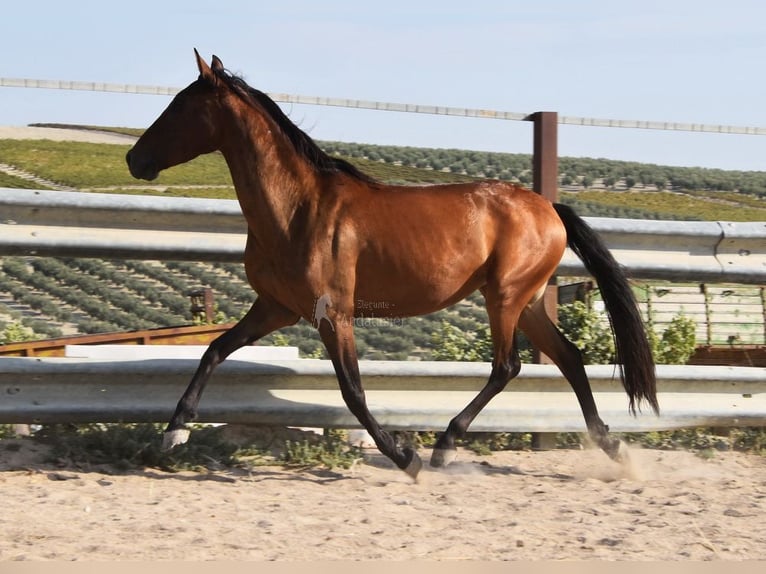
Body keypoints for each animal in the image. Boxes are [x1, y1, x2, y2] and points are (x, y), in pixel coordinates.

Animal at [127, 51, 660, 480]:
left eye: (180, 106)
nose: (134, 159)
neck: (296, 209)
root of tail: (549, 208)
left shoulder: (333, 314)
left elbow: (352, 391)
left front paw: (407, 458)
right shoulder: (276, 307)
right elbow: (214, 350)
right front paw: (171, 435)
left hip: (505, 298)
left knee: (507, 366)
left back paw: (445, 447)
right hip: (523, 301)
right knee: (570, 358)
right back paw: (613, 447)